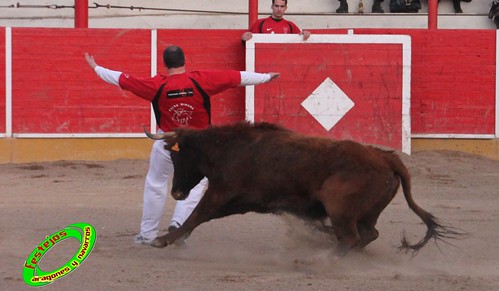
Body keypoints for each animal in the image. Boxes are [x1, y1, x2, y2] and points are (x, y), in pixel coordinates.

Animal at [145, 122, 464, 256]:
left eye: (177, 156)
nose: (177, 193)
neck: (227, 148)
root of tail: (387, 157)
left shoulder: (220, 195)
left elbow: (195, 217)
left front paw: (163, 239)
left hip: (339, 207)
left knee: (351, 237)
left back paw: (329, 258)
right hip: (364, 213)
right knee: (367, 234)